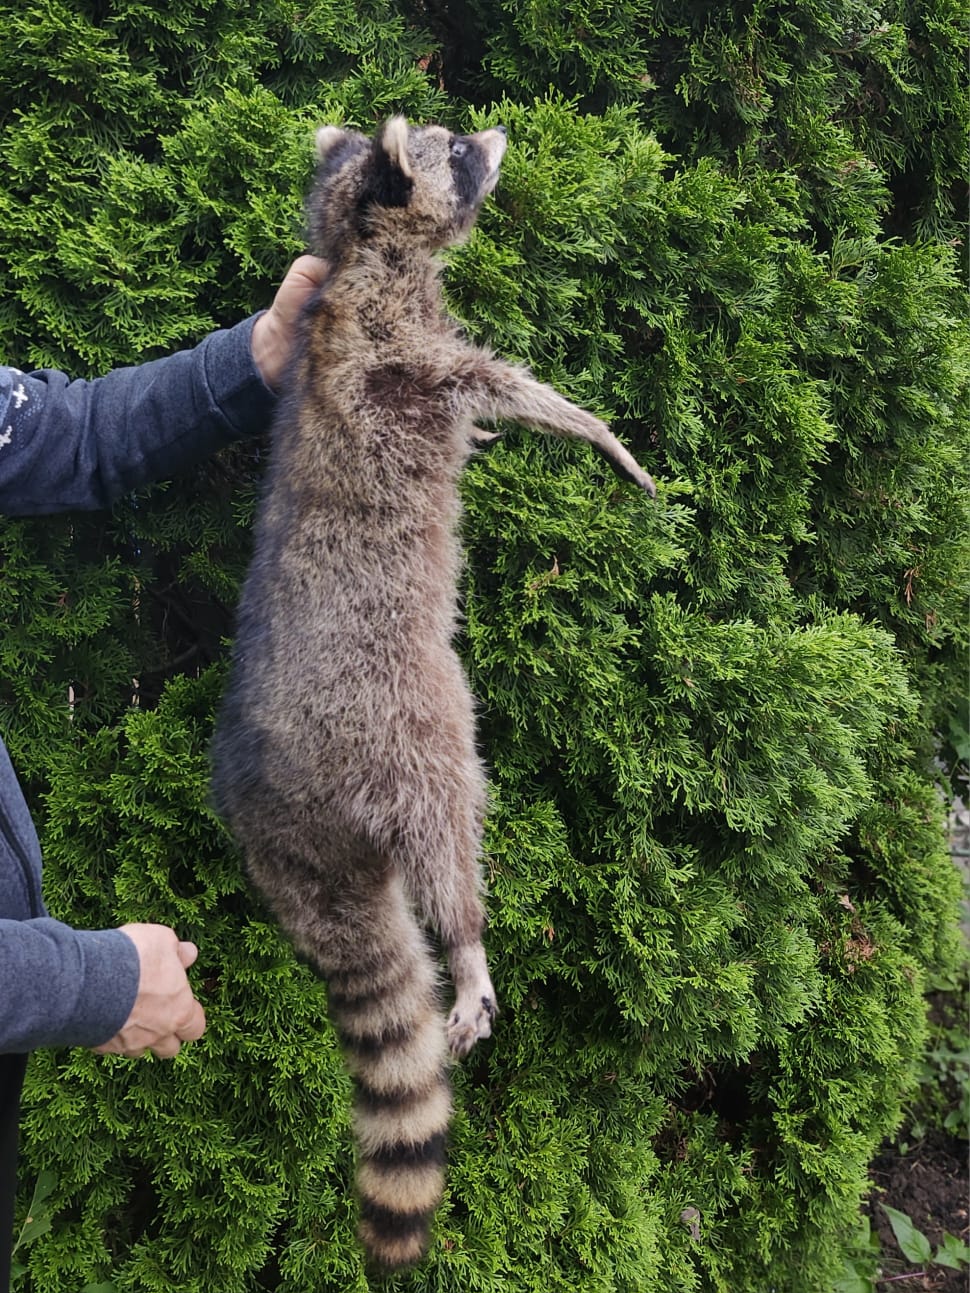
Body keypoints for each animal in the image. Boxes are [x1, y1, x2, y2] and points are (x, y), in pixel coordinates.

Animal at [210, 117, 655, 1270]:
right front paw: (591, 428)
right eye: (455, 149)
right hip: (396, 721)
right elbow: (502, 384)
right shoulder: (404, 347)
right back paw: (468, 940)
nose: (499, 130)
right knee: (448, 814)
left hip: (308, 861)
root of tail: (281, 811)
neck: (365, 247)